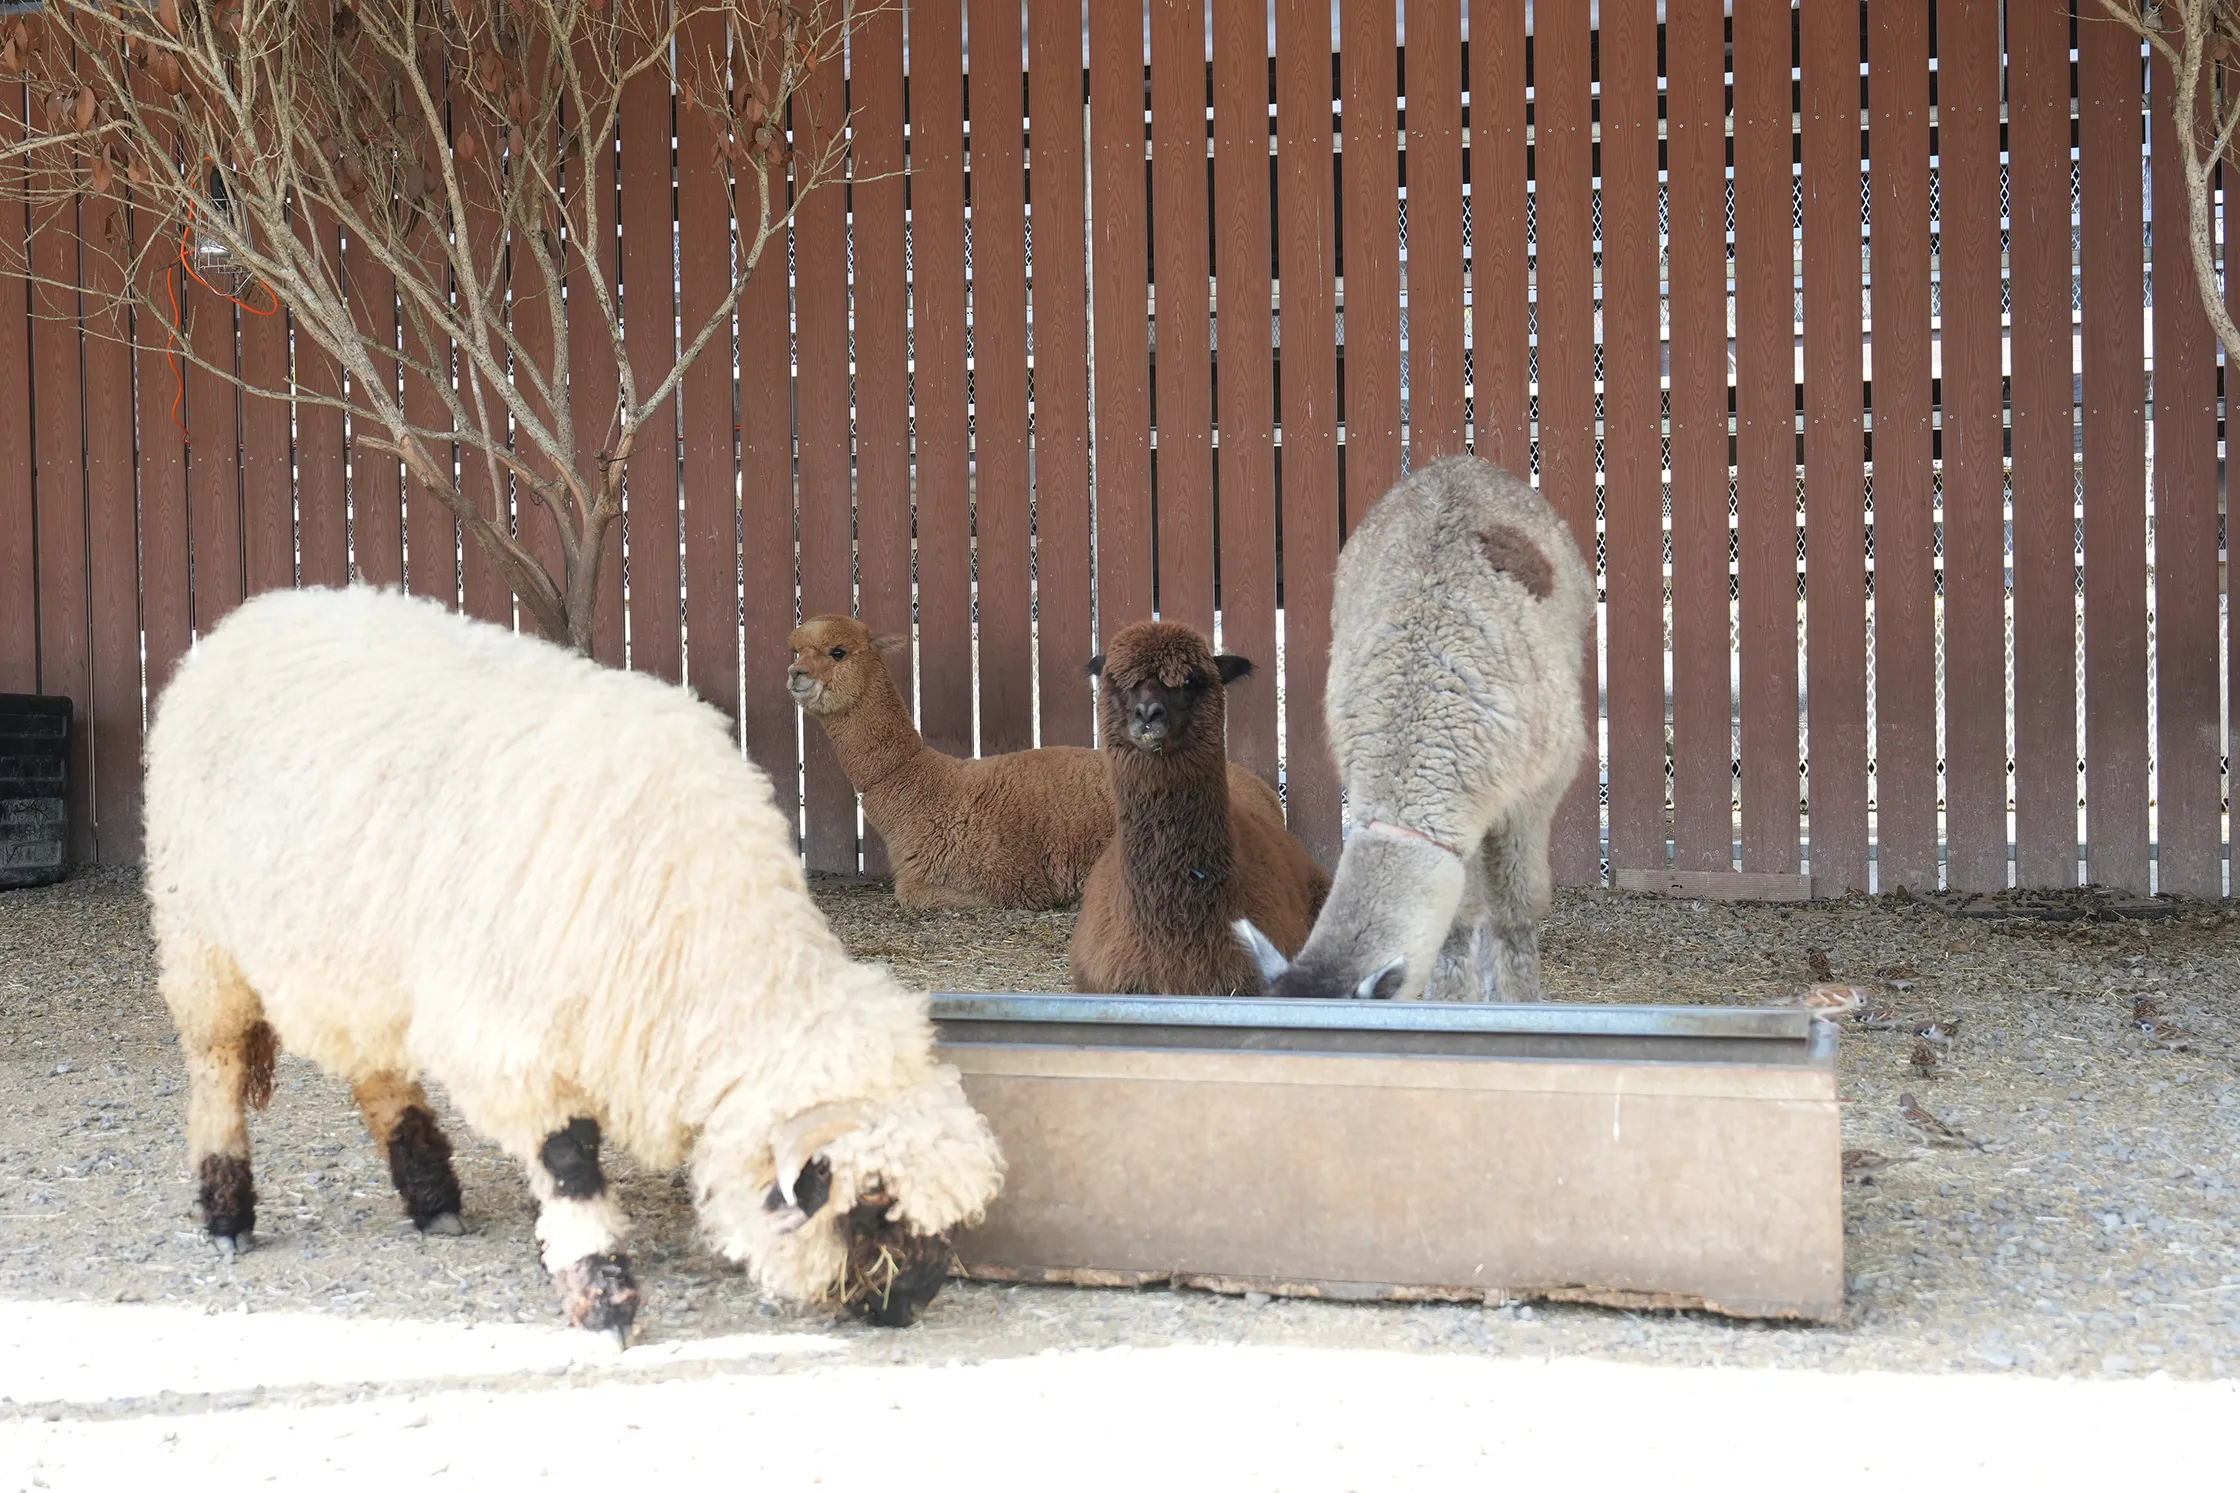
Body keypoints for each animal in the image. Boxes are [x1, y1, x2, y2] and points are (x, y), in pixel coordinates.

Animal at [143, 586, 1004, 1340]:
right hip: (201, 937)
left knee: (376, 1071)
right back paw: (227, 1212)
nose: (911, 1305)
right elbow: (568, 1161)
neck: (702, 935)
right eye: (873, 1206)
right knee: (217, 1067)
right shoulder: (510, 1036)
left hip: (355, 955)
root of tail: (250, 615)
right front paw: (602, 1291)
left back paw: (432, 1196)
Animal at [786, 614, 1282, 910]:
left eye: (837, 652)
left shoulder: (983, 882)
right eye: (794, 650)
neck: (928, 786)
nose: (795, 675)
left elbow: (915, 896)